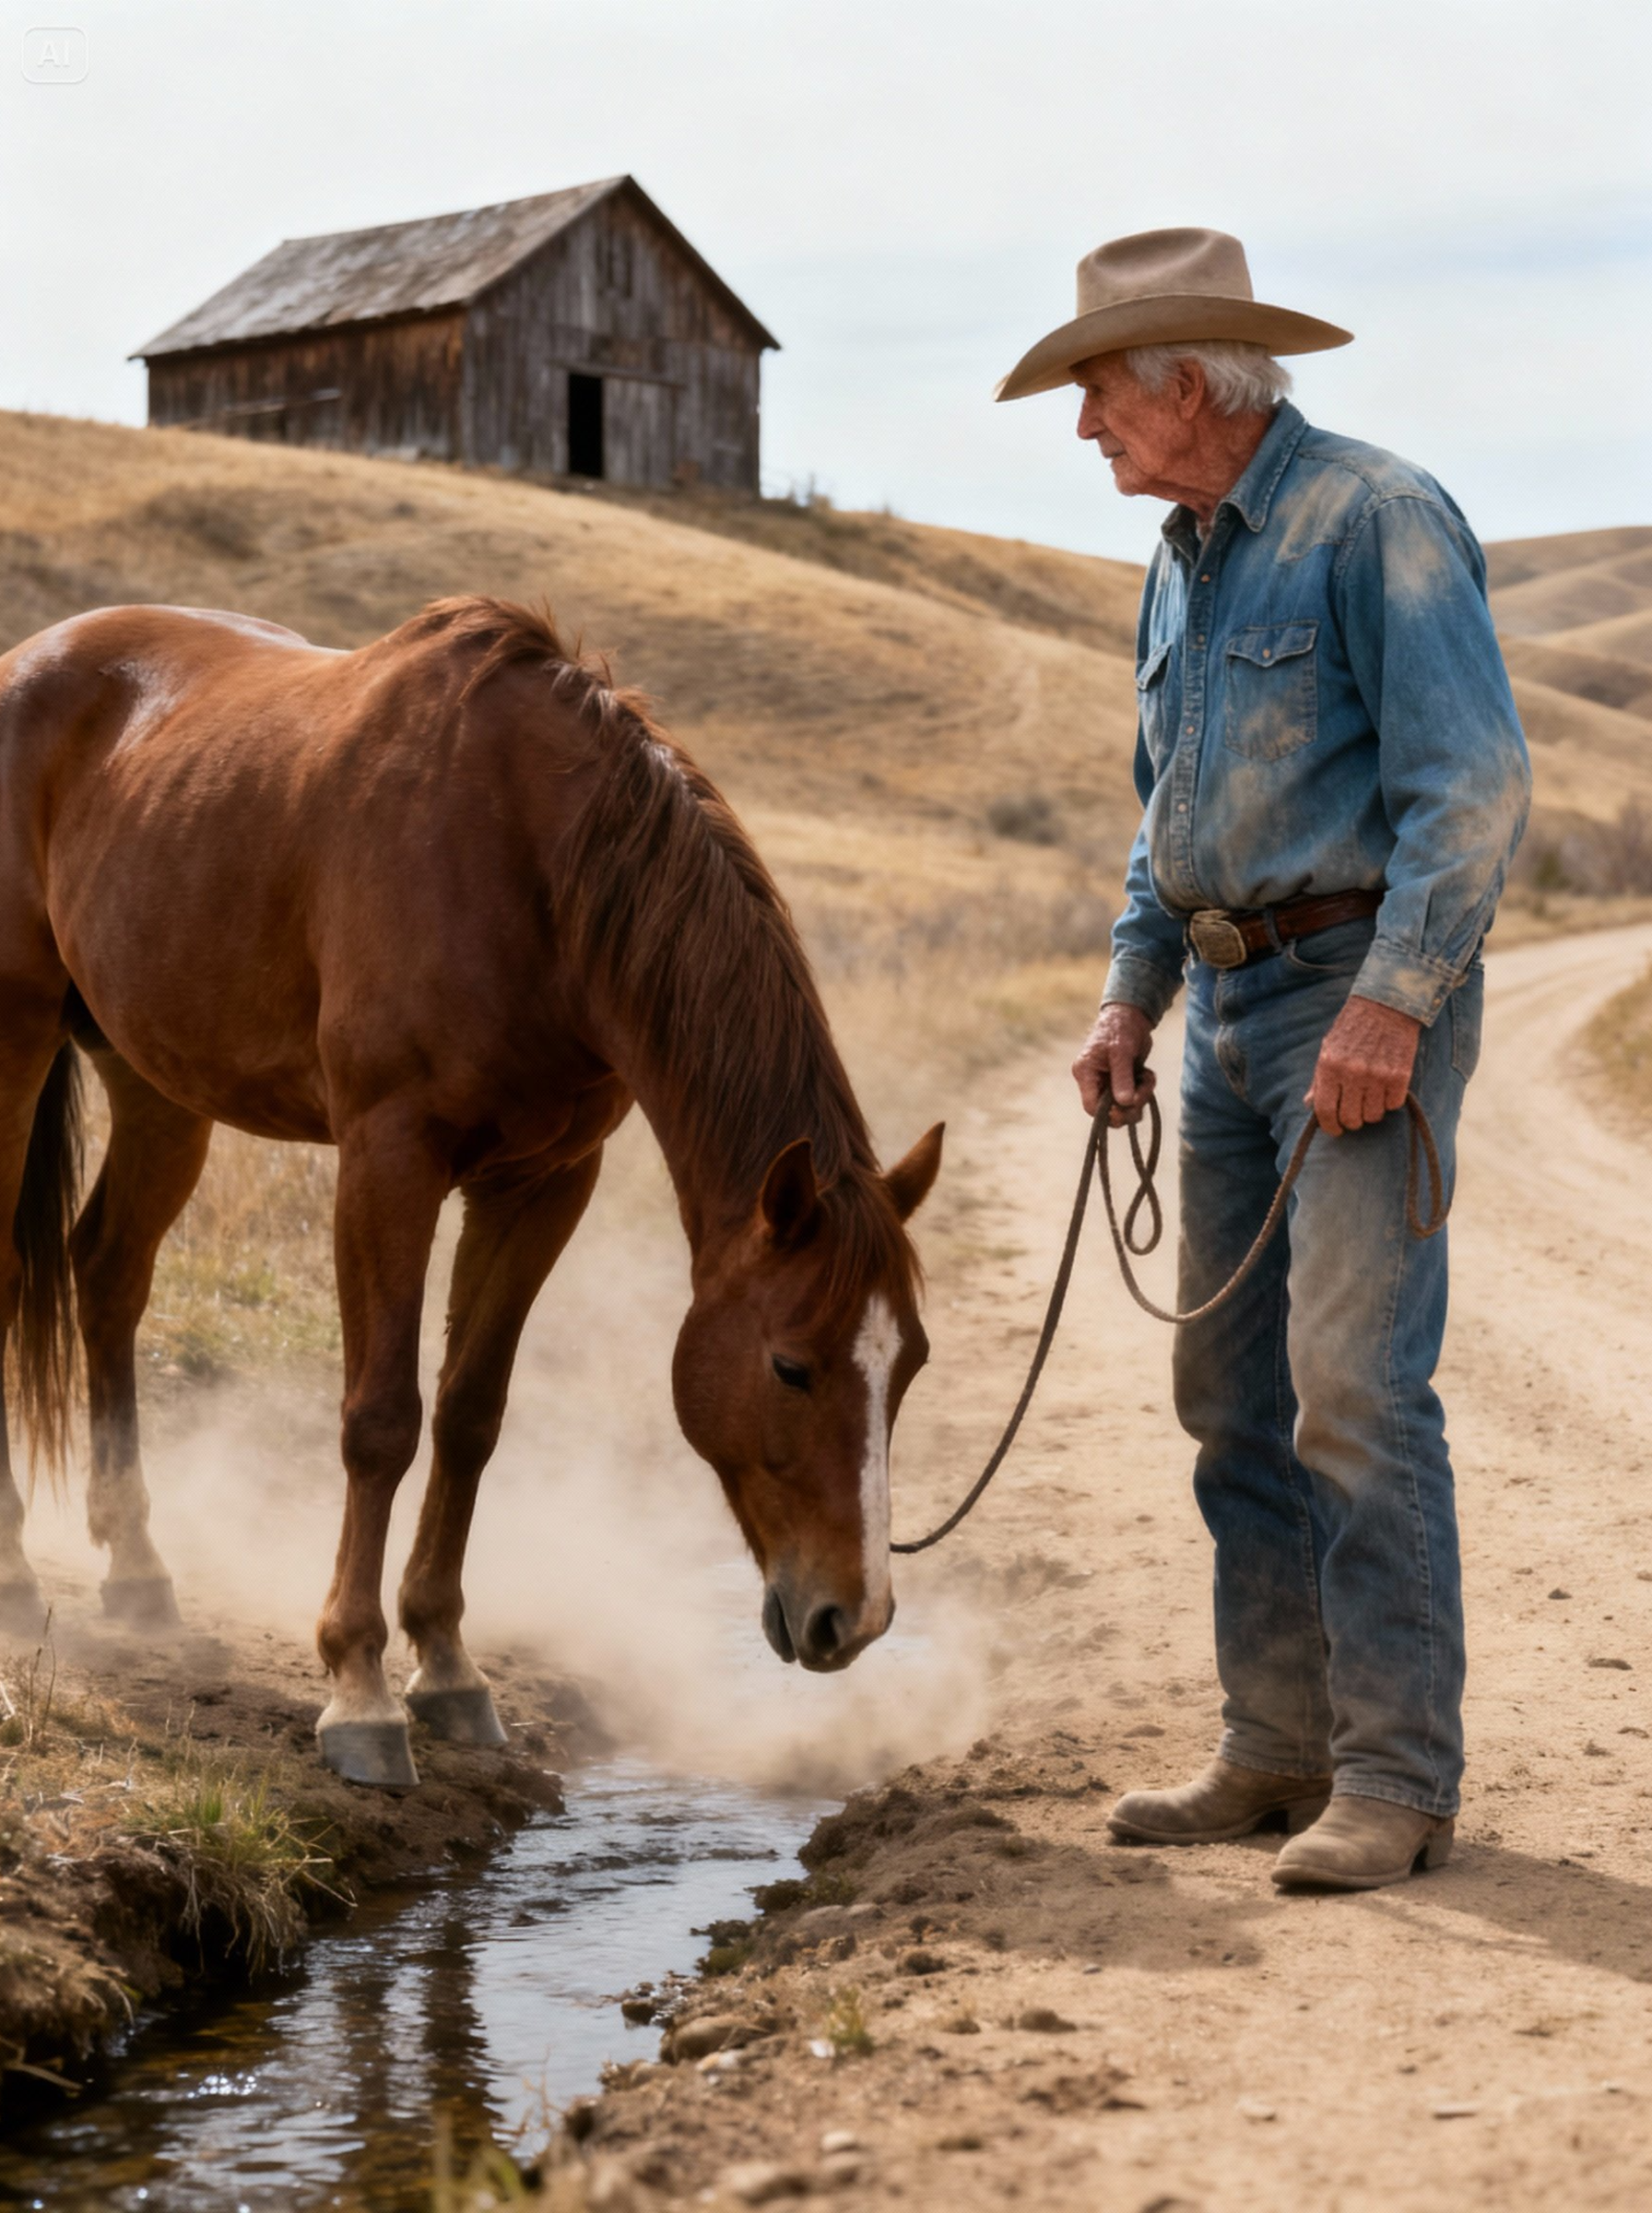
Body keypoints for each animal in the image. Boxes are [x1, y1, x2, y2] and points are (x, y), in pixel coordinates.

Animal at [0, 596, 943, 1785]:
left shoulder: (542, 1184)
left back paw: (137, 1573)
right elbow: (381, 1420)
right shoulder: (388, 1158)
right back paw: (15, 1571)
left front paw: (446, 1666)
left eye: (908, 1365)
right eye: (790, 1367)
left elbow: (468, 1415)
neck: (528, 863)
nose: (851, 1620)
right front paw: (358, 1688)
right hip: (17, 1034)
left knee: (110, 1274)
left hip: (158, 1084)